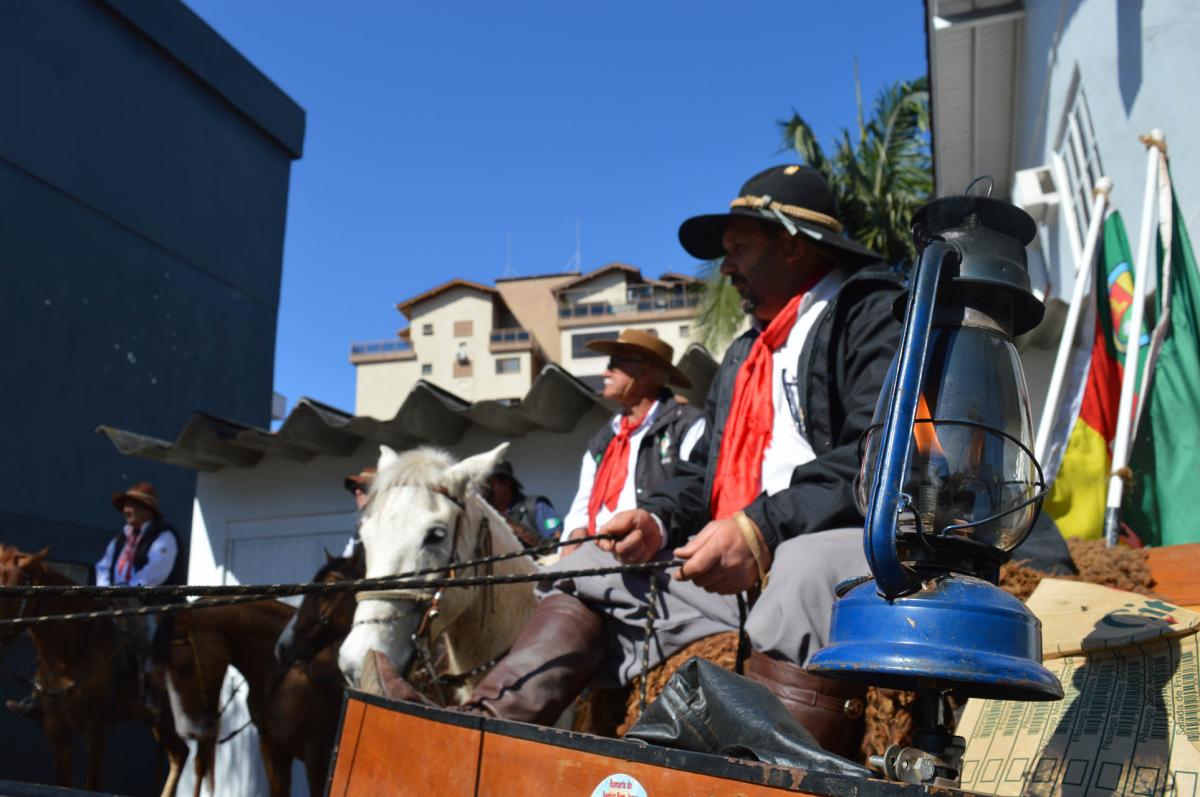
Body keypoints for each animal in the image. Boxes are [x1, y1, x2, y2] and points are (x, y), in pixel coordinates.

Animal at [0, 544, 187, 792]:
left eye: (9, 589)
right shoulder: (56, 729)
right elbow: (63, 784)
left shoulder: (96, 726)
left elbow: (93, 784)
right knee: (178, 756)